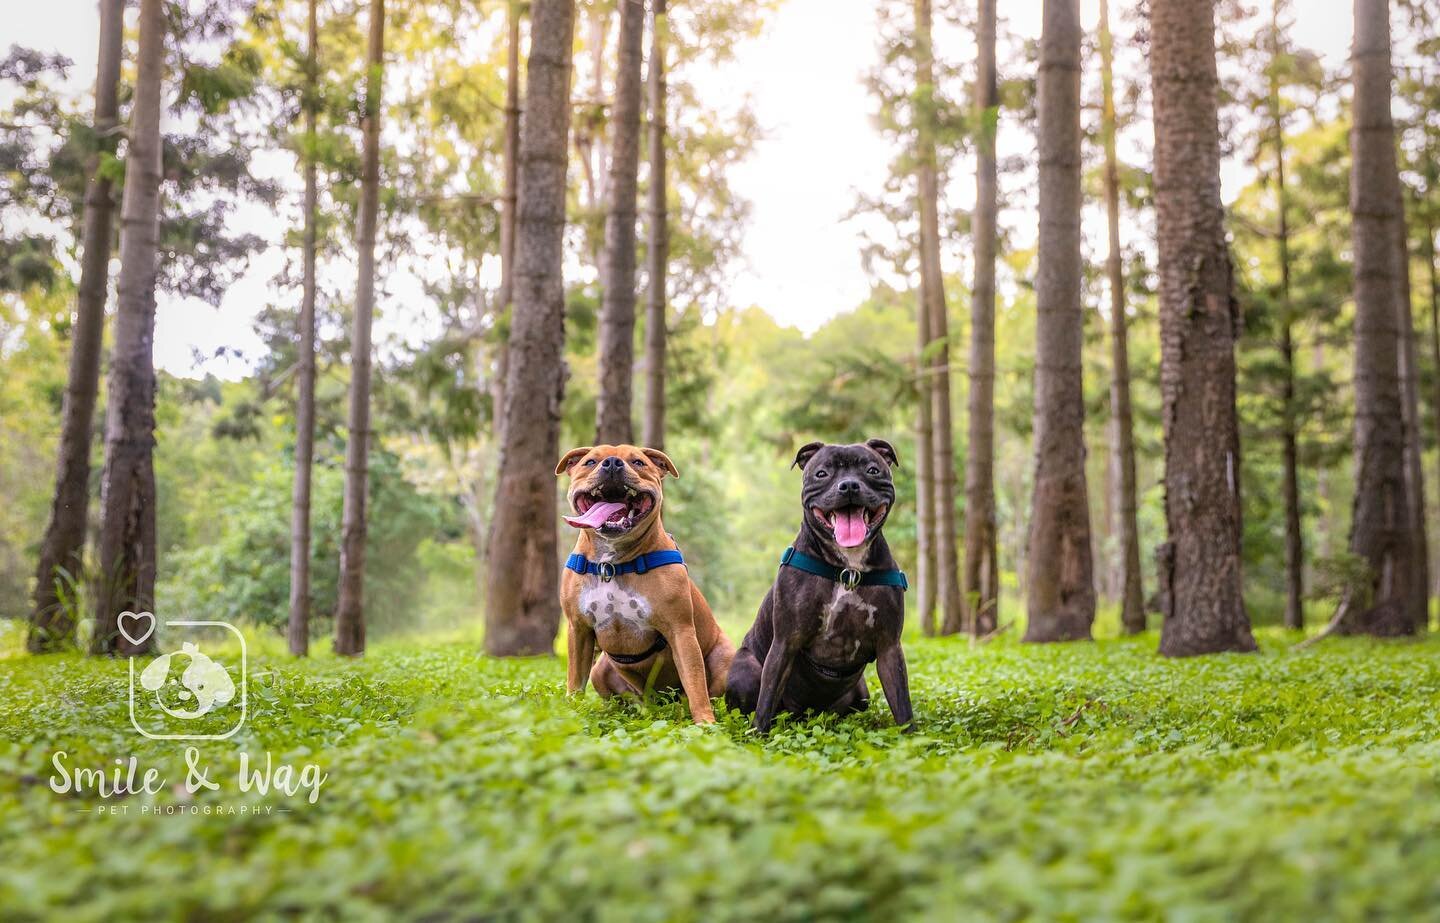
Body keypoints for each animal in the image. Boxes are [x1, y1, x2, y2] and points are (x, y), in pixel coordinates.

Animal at [550, 440, 731, 719]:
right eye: (590, 462)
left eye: (638, 462)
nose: (612, 463)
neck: (612, 564)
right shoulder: (578, 629)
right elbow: (575, 681)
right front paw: (571, 712)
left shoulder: (681, 631)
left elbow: (695, 682)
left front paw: (704, 723)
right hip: (601, 670)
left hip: (724, 656)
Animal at [725, 437, 915, 734]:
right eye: (822, 473)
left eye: (872, 470)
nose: (849, 485)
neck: (848, 569)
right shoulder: (785, 642)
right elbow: (766, 698)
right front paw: (758, 735)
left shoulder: (889, 646)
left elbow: (902, 703)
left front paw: (913, 738)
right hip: (745, 673)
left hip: (861, 695)